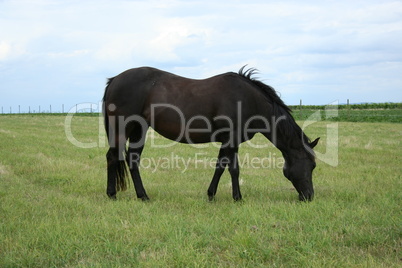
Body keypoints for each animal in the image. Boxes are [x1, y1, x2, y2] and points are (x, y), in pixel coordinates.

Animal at [102, 66, 318, 201]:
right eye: (312, 165)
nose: (309, 196)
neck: (247, 100)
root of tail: (114, 80)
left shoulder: (227, 141)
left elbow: (220, 167)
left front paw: (211, 195)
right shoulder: (232, 140)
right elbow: (234, 169)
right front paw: (238, 198)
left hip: (139, 129)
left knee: (132, 159)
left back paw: (142, 196)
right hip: (123, 128)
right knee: (113, 156)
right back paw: (113, 194)